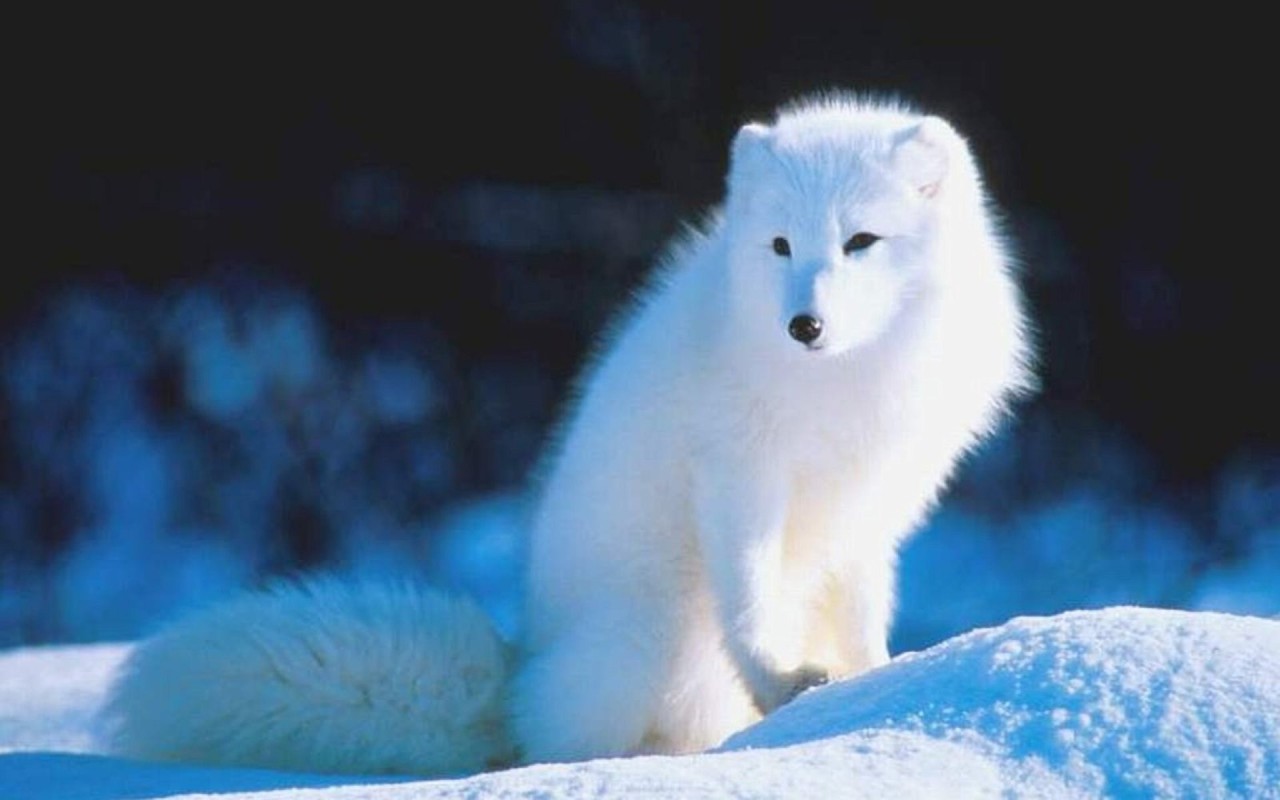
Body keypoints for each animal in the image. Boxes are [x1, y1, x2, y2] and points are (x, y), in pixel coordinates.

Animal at [106, 93, 1033, 776]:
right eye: (780, 245)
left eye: (861, 241)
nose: (803, 324)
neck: (844, 385)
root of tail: (518, 670)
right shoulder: (738, 477)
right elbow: (750, 600)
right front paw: (785, 687)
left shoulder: (870, 508)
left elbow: (863, 614)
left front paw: (878, 687)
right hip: (650, 630)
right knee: (559, 743)